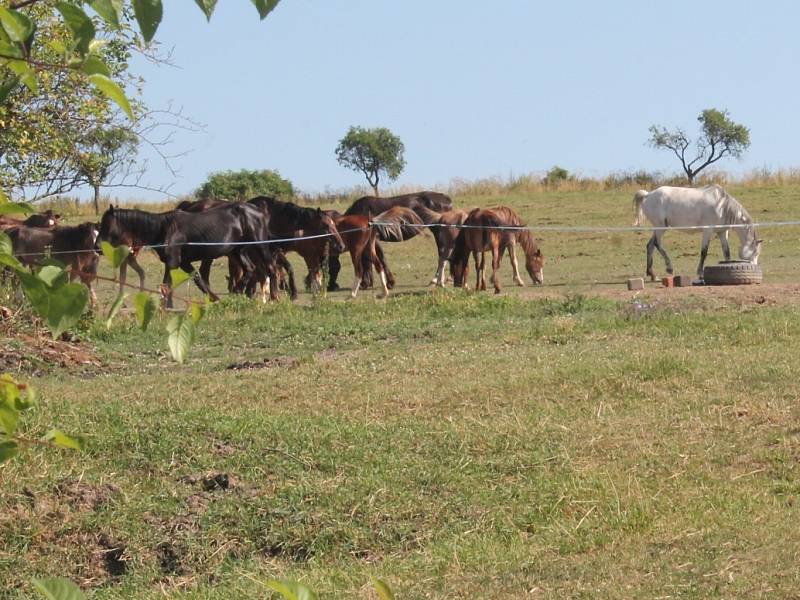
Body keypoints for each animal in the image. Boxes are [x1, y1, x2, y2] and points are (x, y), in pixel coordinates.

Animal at [632, 185, 764, 282]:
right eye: (755, 253)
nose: (755, 267)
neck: (721, 206)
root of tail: (648, 195)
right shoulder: (707, 231)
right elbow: (704, 252)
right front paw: (700, 274)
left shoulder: (722, 233)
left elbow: (727, 253)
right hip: (660, 228)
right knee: (657, 244)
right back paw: (669, 268)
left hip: (658, 229)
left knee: (650, 245)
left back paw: (652, 275)